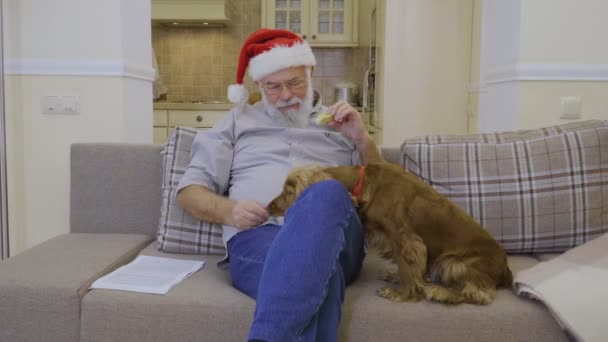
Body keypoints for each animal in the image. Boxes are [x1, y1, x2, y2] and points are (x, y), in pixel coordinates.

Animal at [268, 162, 510, 304]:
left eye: (289, 192)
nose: (269, 207)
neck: (362, 182)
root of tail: (505, 269)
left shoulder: (405, 238)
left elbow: (406, 267)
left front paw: (400, 293)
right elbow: (408, 268)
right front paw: (400, 282)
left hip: (452, 262)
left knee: (478, 294)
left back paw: (441, 292)